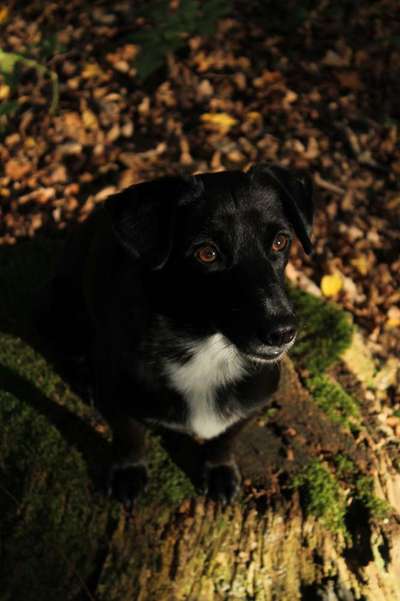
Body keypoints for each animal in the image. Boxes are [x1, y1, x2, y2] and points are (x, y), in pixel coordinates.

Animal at [42, 164, 314, 506]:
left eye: (280, 242)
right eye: (206, 253)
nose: (282, 332)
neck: (207, 345)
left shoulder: (253, 402)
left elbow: (227, 436)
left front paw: (219, 469)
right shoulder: (118, 396)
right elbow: (129, 435)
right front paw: (128, 472)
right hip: (63, 302)